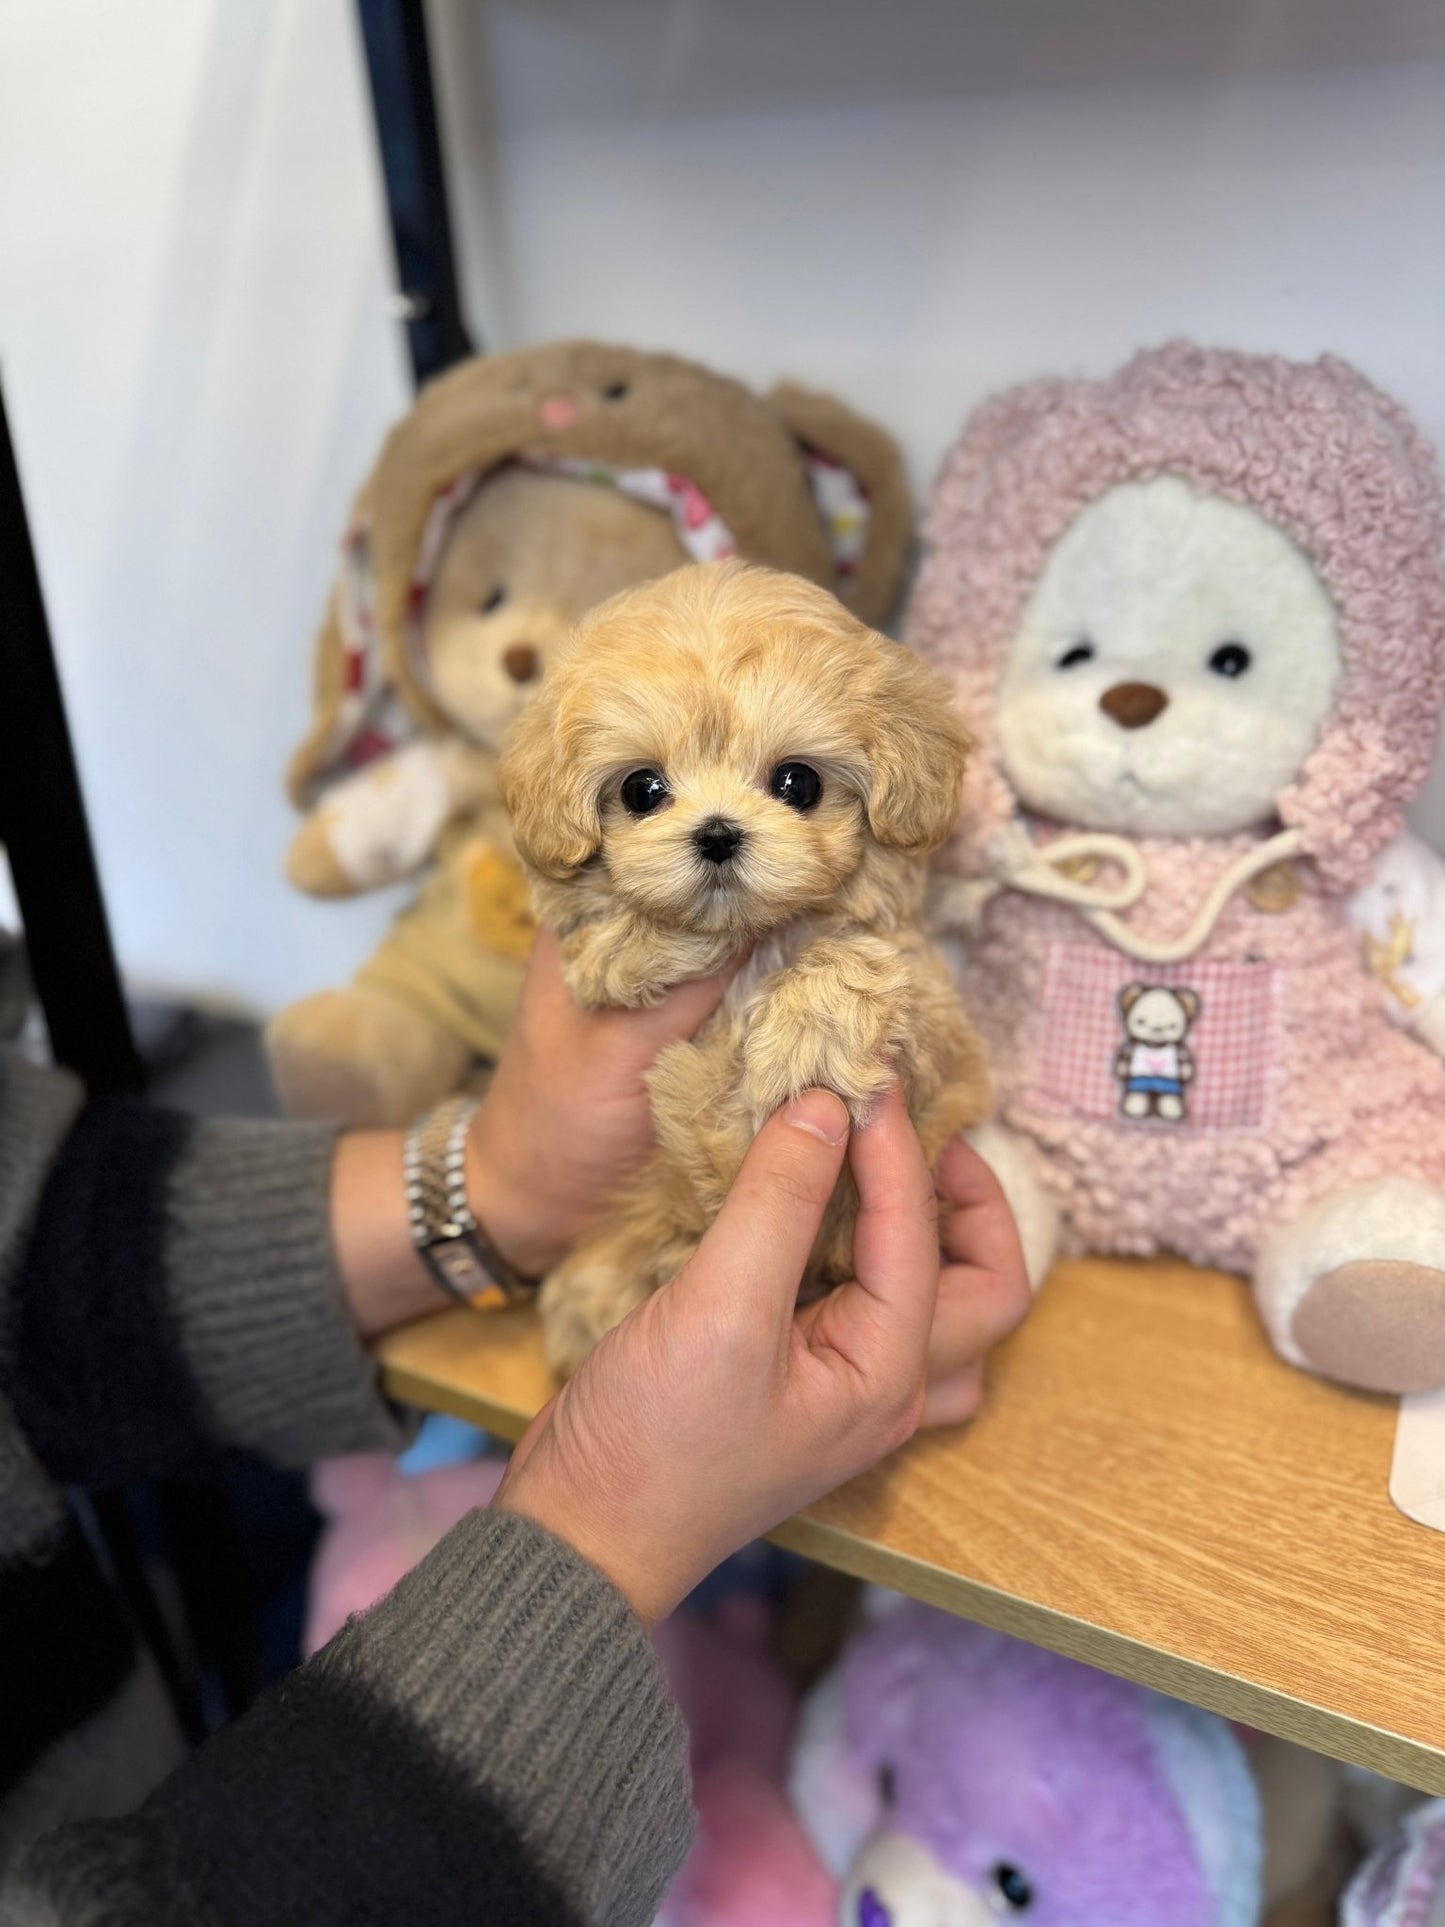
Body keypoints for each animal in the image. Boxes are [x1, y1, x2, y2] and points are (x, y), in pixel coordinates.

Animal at [500, 562, 994, 1379]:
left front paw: (807, 1034)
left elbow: (863, 968)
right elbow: (600, 952)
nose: (717, 833)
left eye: (798, 783)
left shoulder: (942, 1046)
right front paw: (641, 942)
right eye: (641, 789)